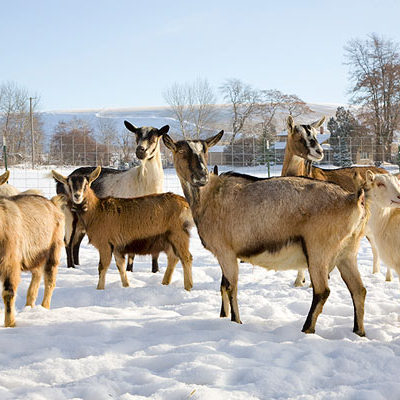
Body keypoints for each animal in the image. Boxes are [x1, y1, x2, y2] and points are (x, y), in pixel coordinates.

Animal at [0, 192, 64, 326]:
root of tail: (53, 202)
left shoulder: (10, 263)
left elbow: (8, 292)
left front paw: (10, 324)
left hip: (53, 251)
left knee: (50, 281)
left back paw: (44, 308)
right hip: (36, 257)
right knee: (37, 275)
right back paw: (29, 306)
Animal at [52, 167, 194, 292]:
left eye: (86, 184)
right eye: (69, 185)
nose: (77, 196)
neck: (97, 211)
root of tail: (185, 204)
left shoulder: (105, 244)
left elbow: (102, 267)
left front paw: (99, 289)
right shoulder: (117, 246)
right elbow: (120, 266)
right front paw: (126, 285)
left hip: (178, 233)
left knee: (186, 257)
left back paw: (188, 287)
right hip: (169, 238)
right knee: (173, 258)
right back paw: (165, 283)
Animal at [162, 130, 368, 334]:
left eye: (205, 150)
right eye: (181, 151)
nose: (201, 176)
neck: (209, 196)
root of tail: (353, 199)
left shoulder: (226, 252)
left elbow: (230, 288)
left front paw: (236, 322)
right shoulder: (225, 254)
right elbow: (223, 285)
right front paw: (223, 316)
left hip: (318, 251)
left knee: (322, 291)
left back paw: (307, 328)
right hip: (347, 253)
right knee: (359, 290)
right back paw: (358, 331)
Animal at [282, 114, 390, 286]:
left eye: (316, 134)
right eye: (300, 136)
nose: (319, 151)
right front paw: (299, 281)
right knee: (374, 244)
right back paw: (376, 273)